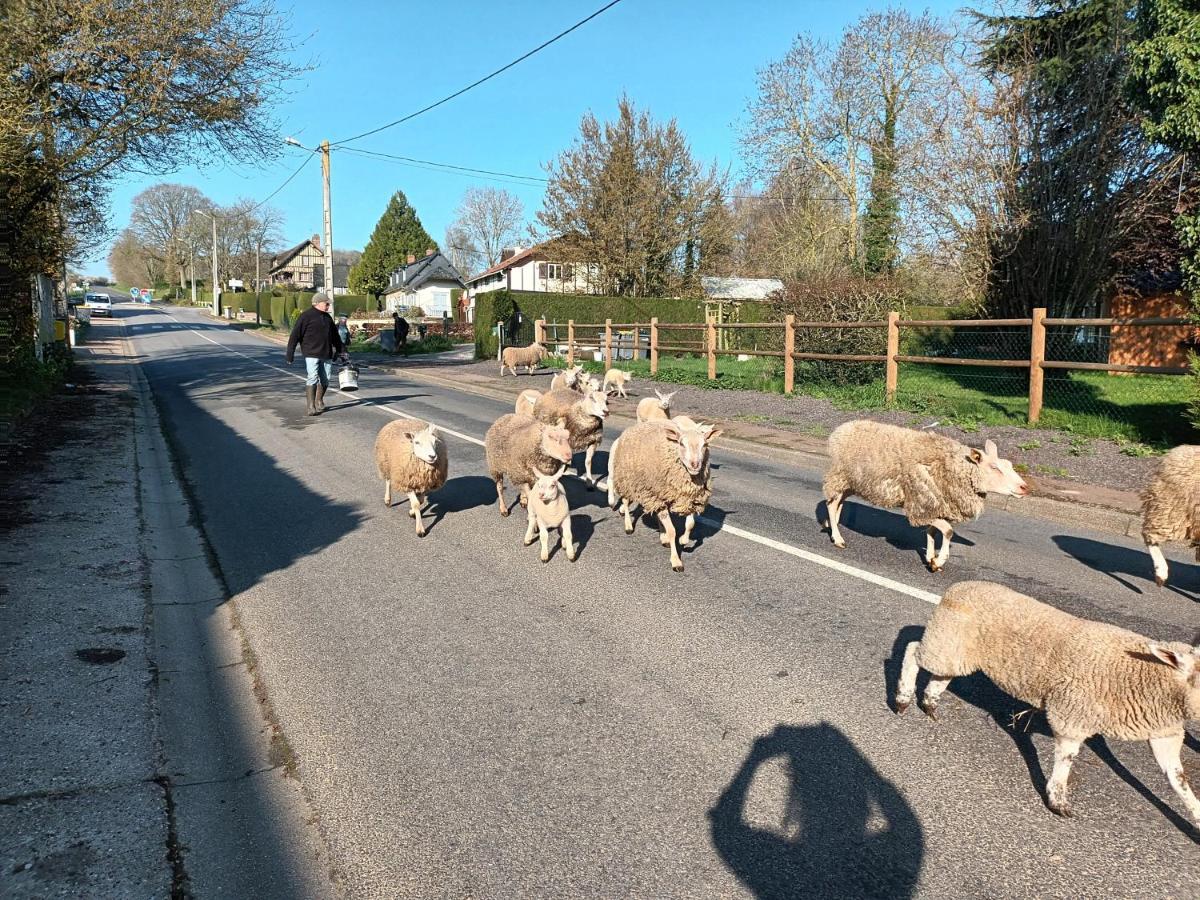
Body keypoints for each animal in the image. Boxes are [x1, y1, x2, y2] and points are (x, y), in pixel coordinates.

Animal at [609, 422, 720, 573]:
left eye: (704, 445)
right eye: (681, 443)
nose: (695, 465)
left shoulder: (689, 499)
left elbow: (690, 524)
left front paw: (683, 540)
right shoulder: (659, 497)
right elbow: (672, 531)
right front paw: (676, 561)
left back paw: (663, 536)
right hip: (628, 481)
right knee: (626, 502)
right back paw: (628, 526)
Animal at [820, 422, 1027, 571]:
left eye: (1009, 465)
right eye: (995, 468)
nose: (1024, 487)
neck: (953, 465)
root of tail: (839, 430)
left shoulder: (935, 505)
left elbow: (932, 531)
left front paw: (930, 558)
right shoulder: (921, 504)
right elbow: (948, 531)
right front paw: (939, 560)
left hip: (853, 482)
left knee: (838, 502)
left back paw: (832, 524)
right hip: (840, 475)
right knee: (831, 503)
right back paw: (837, 538)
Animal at [902, 580, 1200, 830]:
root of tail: (957, 587)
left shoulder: (1163, 731)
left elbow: (1178, 778)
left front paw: (1196, 818)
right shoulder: (1072, 713)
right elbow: (1066, 758)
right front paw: (1057, 800)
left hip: (955, 650)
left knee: (941, 675)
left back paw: (929, 703)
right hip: (944, 640)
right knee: (913, 650)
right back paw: (902, 699)